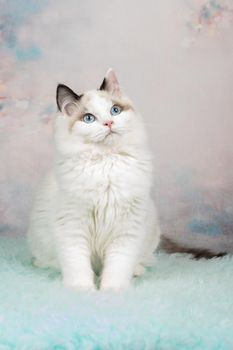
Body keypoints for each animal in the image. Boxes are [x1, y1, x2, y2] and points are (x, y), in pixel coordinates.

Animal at [27, 69, 161, 292]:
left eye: (115, 110)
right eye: (89, 118)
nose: (109, 123)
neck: (106, 162)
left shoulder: (126, 229)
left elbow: (118, 266)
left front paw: (111, 291)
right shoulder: (72, 226)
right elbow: (77, 265)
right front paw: (83, 290)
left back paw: (136, 270)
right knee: (47, 261)